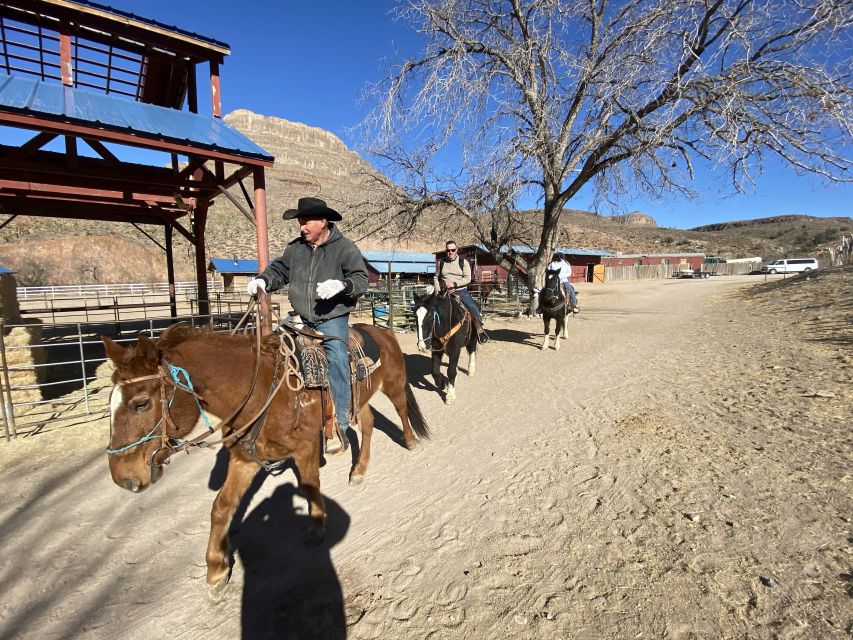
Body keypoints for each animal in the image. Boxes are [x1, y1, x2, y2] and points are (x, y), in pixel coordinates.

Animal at [102, 322, 430, 596]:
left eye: (140, 403)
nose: (122, 477)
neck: (260, 391)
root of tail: (382, 330)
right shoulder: (244, 459)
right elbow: (221, 507)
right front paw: (216, 571)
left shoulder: (305, 449)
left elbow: (310, 486)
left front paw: (317, 528)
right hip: (358, 400)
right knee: (369, 423)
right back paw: (359, 470)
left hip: (393, 384)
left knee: (401, 409)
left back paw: (411, 442)